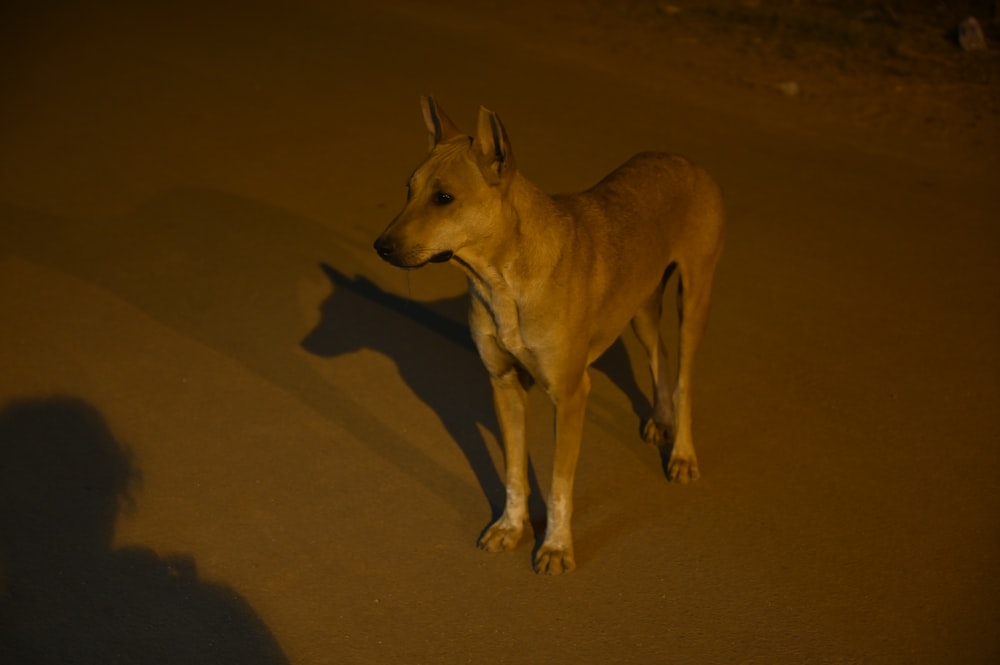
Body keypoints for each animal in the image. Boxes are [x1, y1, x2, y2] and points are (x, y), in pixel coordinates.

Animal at [372, 96, 724, 572]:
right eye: (409, 190)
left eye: (444, 198)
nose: (381, 247)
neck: (503, 281)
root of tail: (686, 161)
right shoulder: (504, 385)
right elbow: (514, 471)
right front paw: (511, 526)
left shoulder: (571, 395)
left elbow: (558, 485)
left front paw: (556, 546)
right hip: (640, 307)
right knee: (660, 354)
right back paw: (661, 419)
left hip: (694, 297)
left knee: (685, 376)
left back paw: (683, 453)